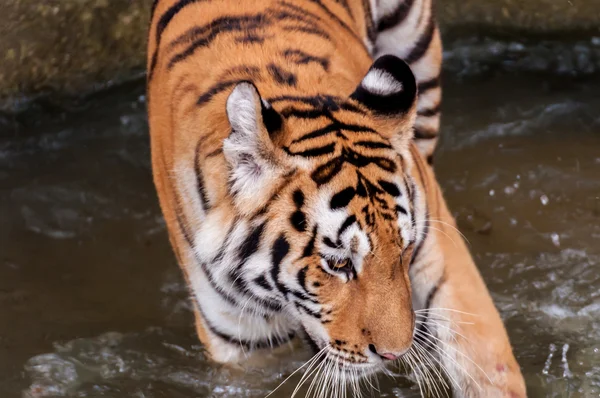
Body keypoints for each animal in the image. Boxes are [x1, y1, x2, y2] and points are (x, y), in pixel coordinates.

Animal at [148, 0, 528, 396]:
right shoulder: (244, 342)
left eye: (405, 249)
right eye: (338, 263)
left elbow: (486, 363)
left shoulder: (442, 258)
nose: (394, 354)